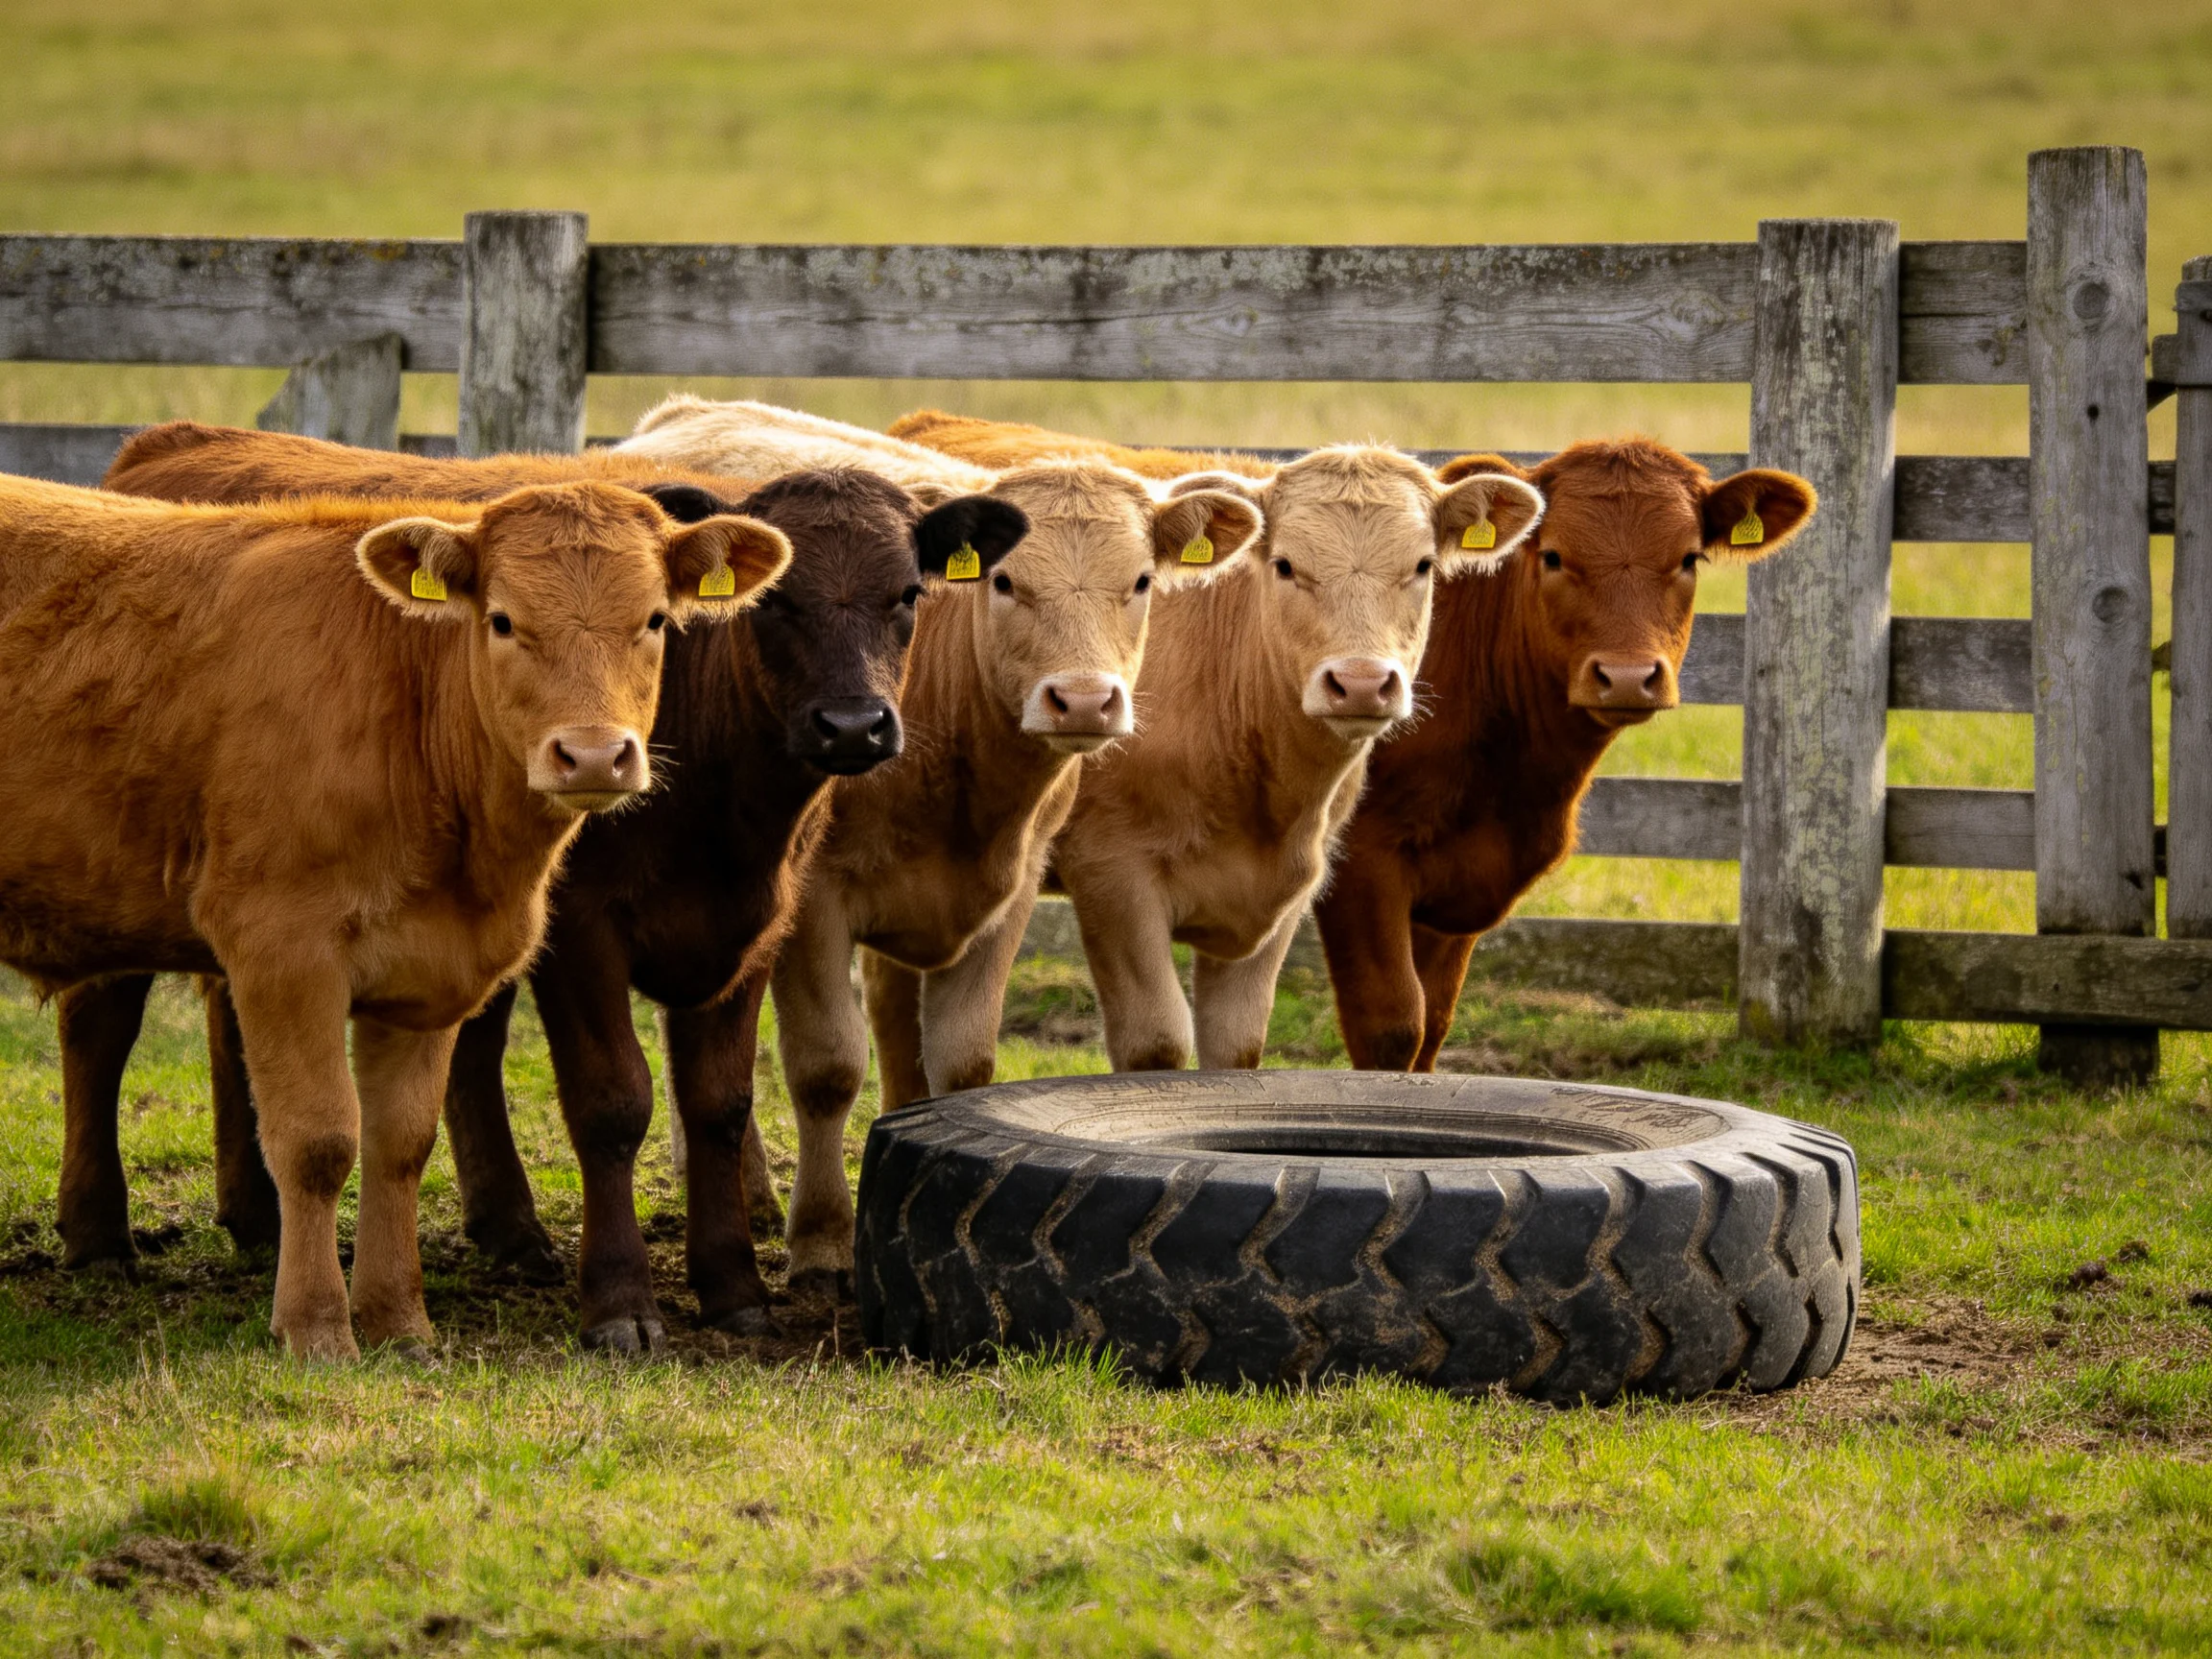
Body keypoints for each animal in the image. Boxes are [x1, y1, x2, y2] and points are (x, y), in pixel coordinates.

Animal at [0, 470, 788, 1358]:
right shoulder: (282, 948)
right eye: (502, 619)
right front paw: (316, 1328)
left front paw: (397, 1321)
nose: (592, 754)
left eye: (654, 619)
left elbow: (401, 1143)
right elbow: (317, 1140)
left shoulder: (428, 971)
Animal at [80, 420, 1020, 1351]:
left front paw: (733, 1289)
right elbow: (613, 1102)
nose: (853, 726)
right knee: (103, 1029)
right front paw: (620, 1302)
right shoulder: (581, 932)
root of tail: (178, 441)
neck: (717, 801)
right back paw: (99, 1234)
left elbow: (718, 1102)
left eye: (908, 595)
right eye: (775, 601)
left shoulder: (755, 926)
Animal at [619, 400, 1264, 1293]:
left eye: (1140, 582)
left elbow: (960, 1066)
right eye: (1004, 582)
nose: (1083, 701)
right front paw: (822, 1240)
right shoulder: (811, 901)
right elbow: (826, 1066)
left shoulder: (1012, 890)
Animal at [889, 412, 1545, 1074]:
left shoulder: (1285, 894)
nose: (1360, 683)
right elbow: (1155, 1040)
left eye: (1423, 566)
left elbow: (1236, 1048)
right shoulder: (1112, 872)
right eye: (1285, 565)